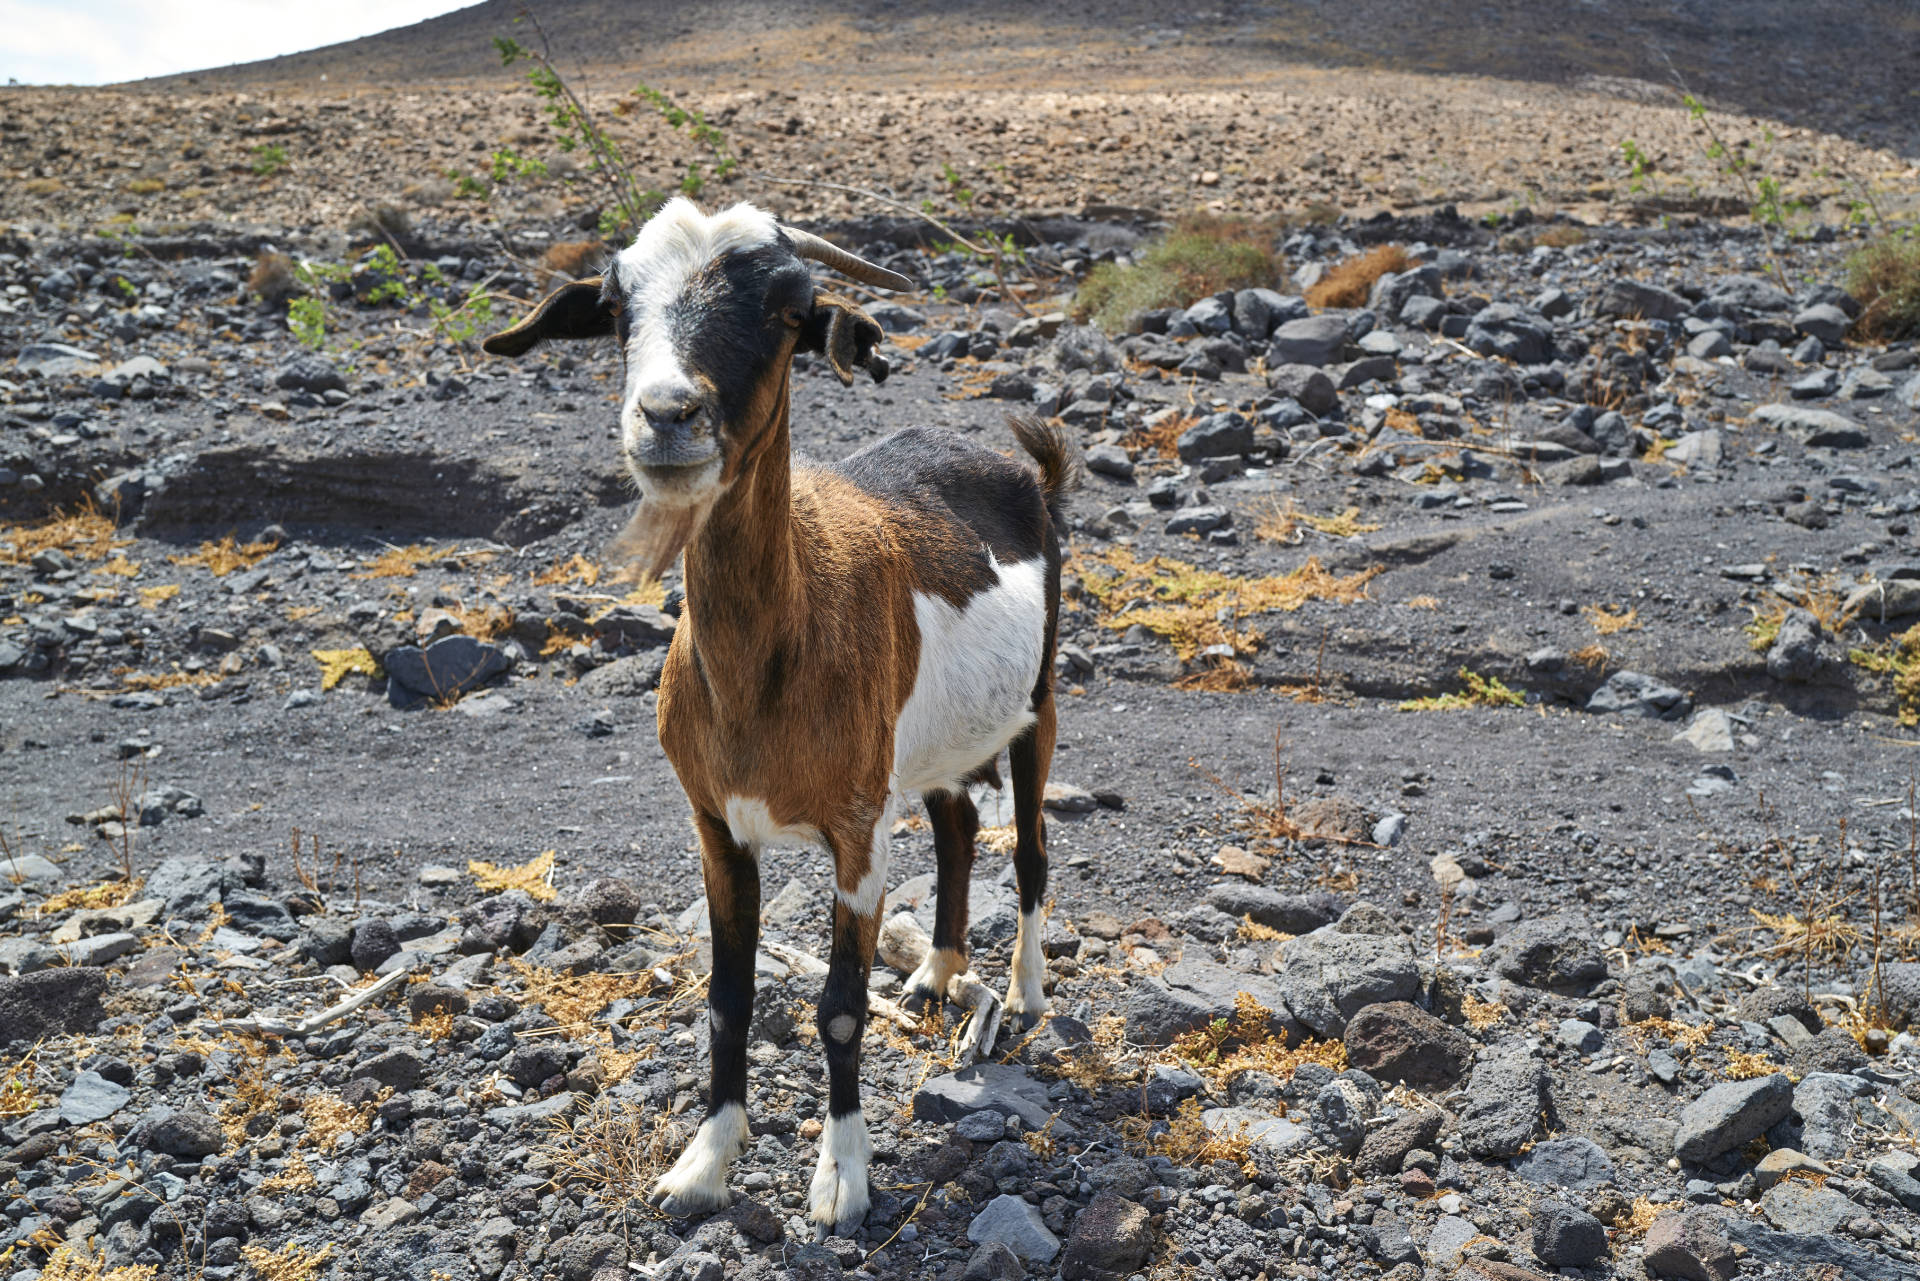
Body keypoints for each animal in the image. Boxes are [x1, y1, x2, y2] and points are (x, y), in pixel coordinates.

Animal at [480, 197, 1082, 1229]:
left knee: (1033, 848)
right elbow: (727, 996)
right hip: (931, 739)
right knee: (959, 824)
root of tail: (1020, 463)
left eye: (789, 307)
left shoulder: (855, 829)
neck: (768, 669)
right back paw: (937, 973)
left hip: (1037, 698)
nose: (667, 415)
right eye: (614, 305)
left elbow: (838, 1004)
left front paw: (841, 1178)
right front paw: (704, 1163)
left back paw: (1025, 992)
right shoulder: (717, 824)